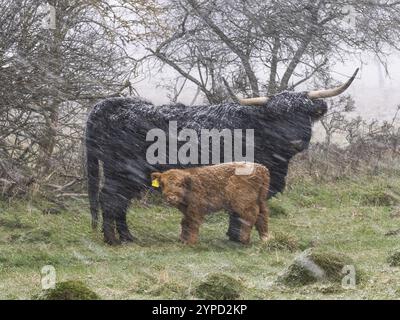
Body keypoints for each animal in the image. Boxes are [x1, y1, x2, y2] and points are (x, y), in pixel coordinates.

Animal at [86, 69, 358, 245]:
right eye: (279, 116)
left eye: (304, 114)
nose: (294, 141)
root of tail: (110, 104)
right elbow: (240, 209)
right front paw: (237, 238)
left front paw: (233, 235)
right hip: (119, 170)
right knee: (110, 198)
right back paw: (113, 240)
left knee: (120, 201)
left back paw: (127, 237)